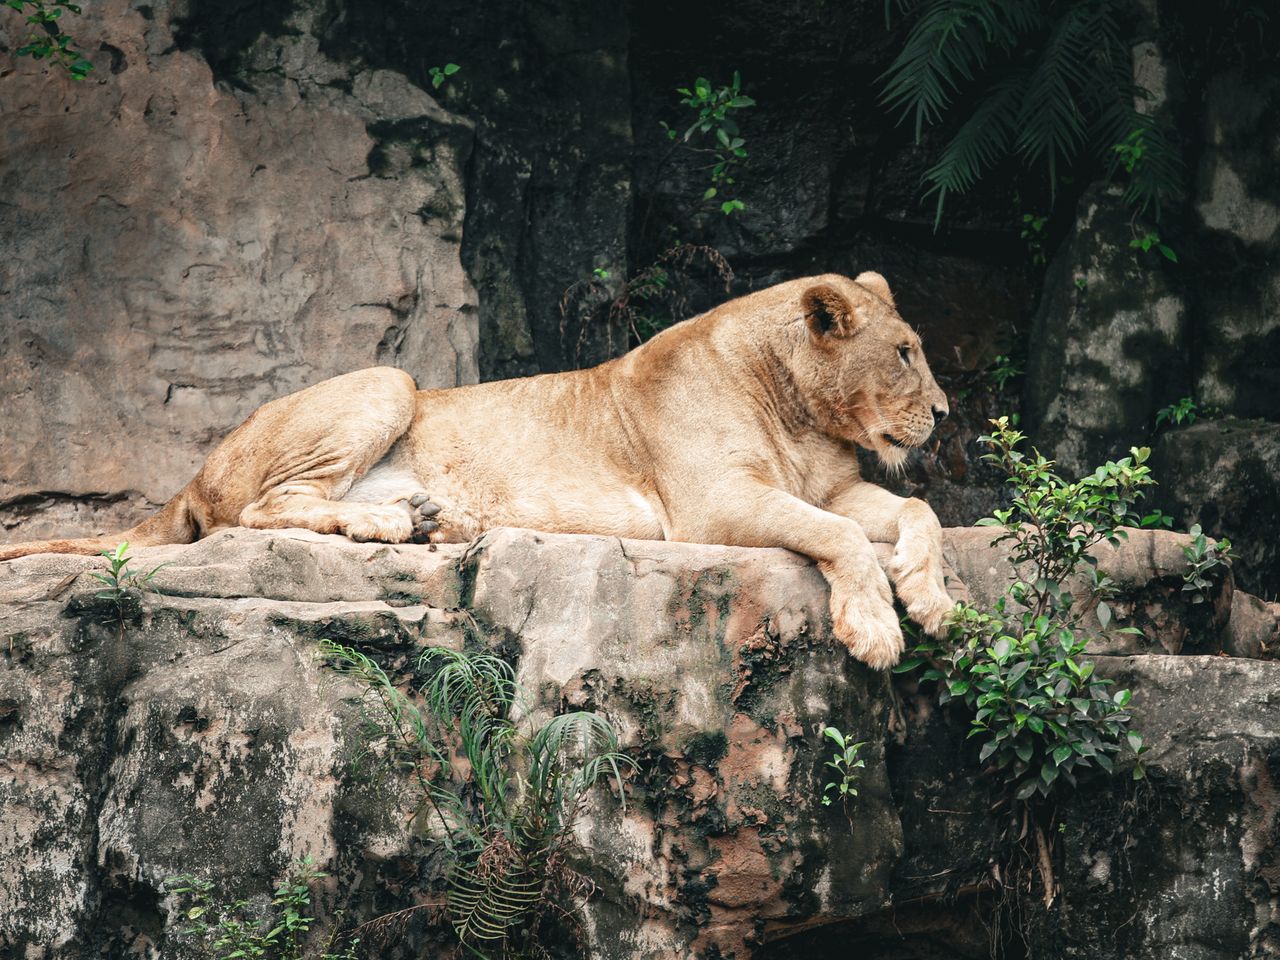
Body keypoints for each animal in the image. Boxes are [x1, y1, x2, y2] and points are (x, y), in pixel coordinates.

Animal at [0, 272, 953, 668]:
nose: (945, 414)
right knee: (261, 511)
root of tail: (193, 472)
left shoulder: (834, 485)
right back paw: (391, 521)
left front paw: (931, 596)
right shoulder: (713, 508)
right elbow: (837, 538)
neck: (802, 411)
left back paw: (431, 521)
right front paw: (877, 628)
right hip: (387, 380)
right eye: (906, 353)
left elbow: (918, 516)